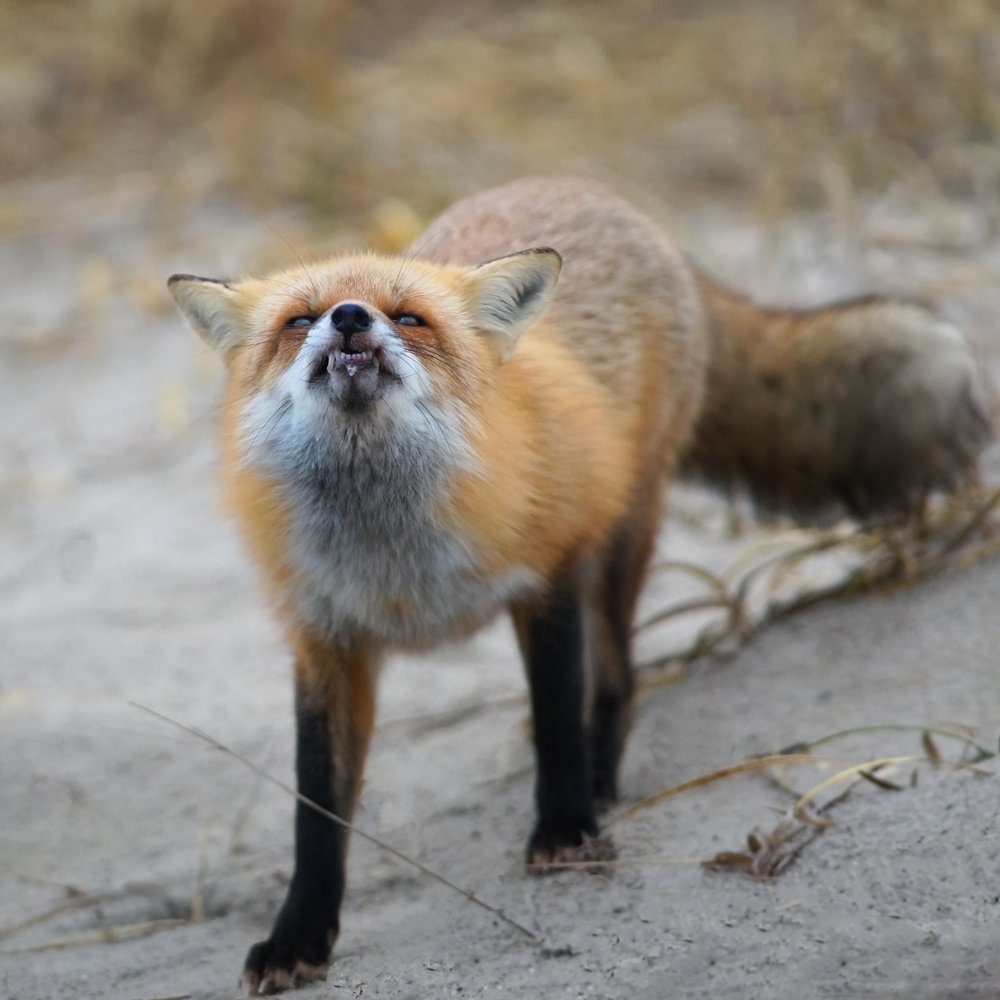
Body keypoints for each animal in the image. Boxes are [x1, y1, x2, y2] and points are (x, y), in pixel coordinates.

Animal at [168, 176, 990, 994]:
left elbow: (559, 715)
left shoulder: (549, 579)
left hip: (621, 540)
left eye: (408, 317)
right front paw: (300, 934)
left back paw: (599, 786)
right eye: (299, 319)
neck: (392, 553)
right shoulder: (324, 638)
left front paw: (564, 829)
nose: (348, 317)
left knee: (618, 680)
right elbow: (316, 810)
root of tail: (602, 195)